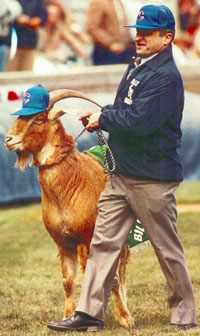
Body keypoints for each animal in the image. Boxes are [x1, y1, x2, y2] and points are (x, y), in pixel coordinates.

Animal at [4, 89, 134, 328]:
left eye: (39, 118)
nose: (9, 140)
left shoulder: (87, 238)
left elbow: (98, 277)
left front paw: (123, 319)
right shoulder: (63, 242)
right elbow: (68, 281)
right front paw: (66, 317)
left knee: (120, 269)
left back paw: (123, 313)